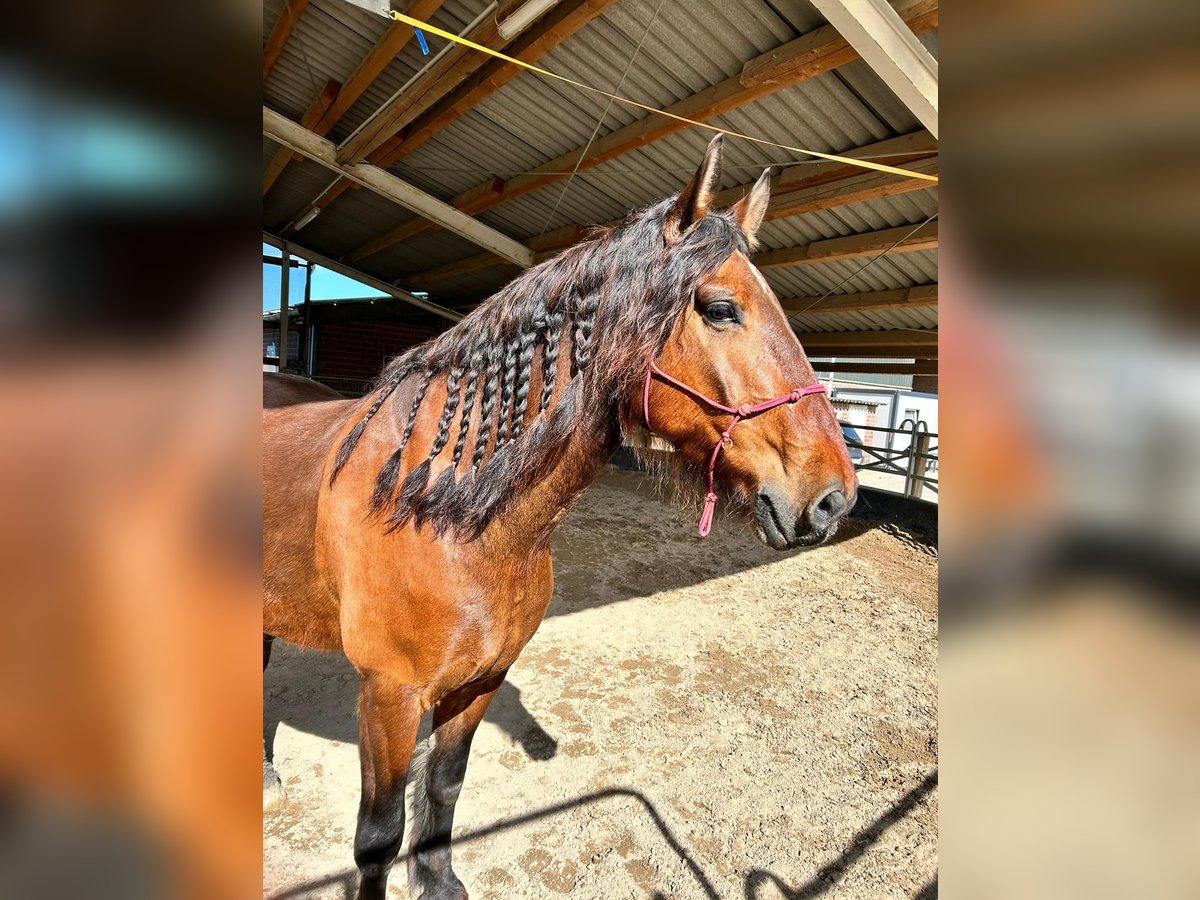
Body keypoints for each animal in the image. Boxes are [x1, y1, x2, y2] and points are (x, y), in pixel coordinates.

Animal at [266, 135, 859, 900]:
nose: (835, 497)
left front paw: (440, 882)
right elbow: (376, 837)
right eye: (722, 308)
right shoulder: (387, 697)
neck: (445, 512)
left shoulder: (480, 683)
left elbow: (445, 787)